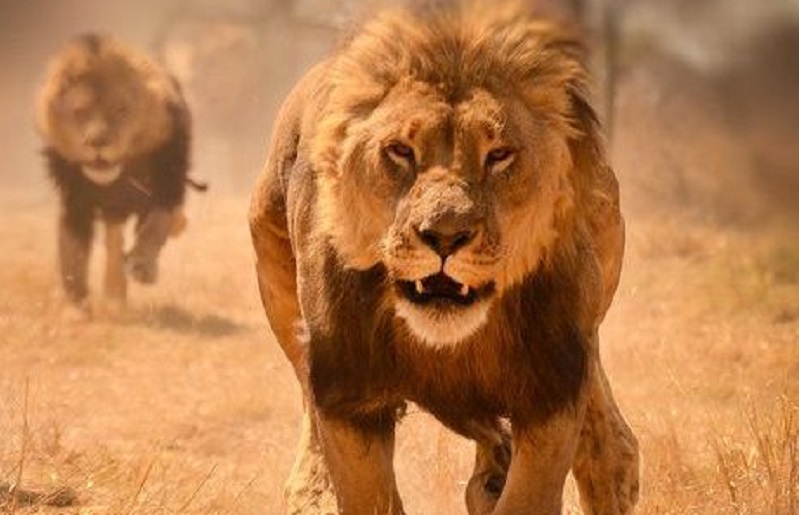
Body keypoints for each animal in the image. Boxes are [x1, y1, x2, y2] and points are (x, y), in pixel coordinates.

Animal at [36, 33, 204, 317]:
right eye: (81, 112)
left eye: (121, 111)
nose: (97, 141)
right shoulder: (75, 202)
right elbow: (73, 251)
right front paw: (75, 306)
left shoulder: (167, 186)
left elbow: (157, 225)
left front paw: (142, 265)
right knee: (114, 242)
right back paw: (114, 292)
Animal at [249, 2, 639, 514]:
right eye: (400, 151)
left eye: (499, 155)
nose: (445, 236)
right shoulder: (347, 395)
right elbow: (365, 491)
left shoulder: (552, 386)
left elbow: (530, 493)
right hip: (275, 277)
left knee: (602, 419)